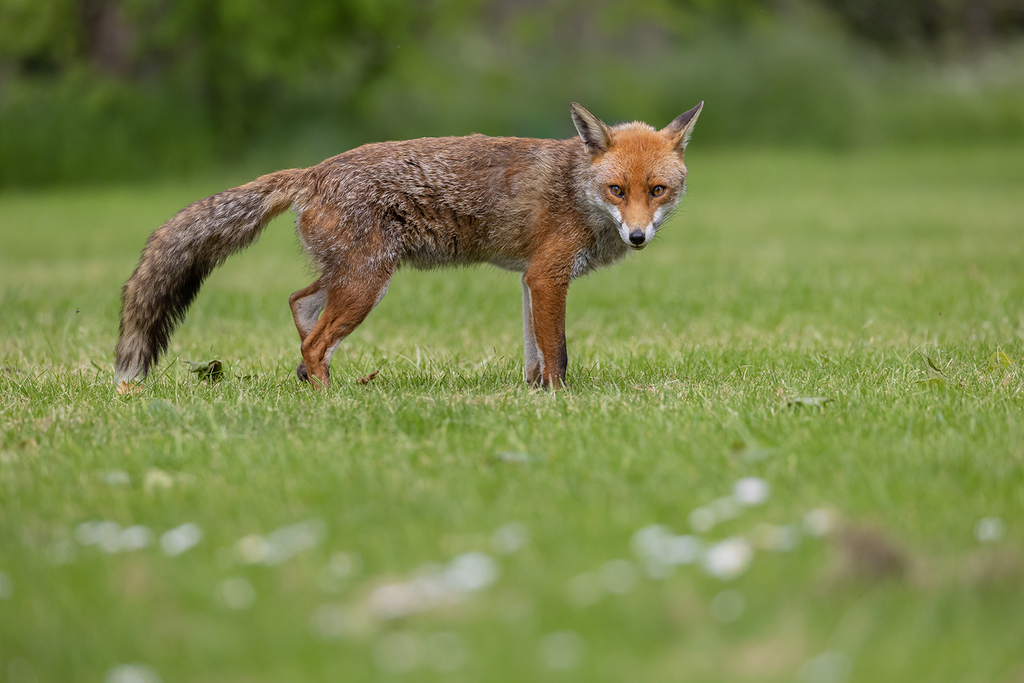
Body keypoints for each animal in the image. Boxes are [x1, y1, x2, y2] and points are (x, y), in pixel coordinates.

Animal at [115, 101, 703, 390]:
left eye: (657, 190)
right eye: (617, 190)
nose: (638, 236)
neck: (579, 191)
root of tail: (312, 172)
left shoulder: (528, 278)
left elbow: (534, 354)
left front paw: (534, 395)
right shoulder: (547, 275)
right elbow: (556, 352)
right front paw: (560, 403)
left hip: (349, 277)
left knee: (299, 304)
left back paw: (308, 384)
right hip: (367, 283)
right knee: (314, 340)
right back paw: (331, 399)